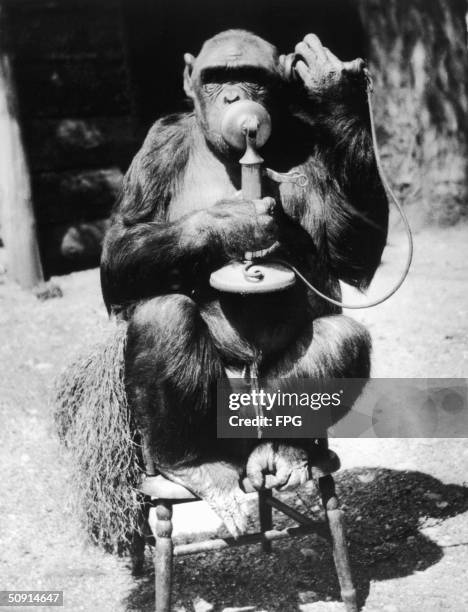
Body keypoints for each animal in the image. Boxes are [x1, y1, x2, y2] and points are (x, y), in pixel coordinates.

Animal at [101, 28, 388, 536]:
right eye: (217, 78)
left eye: (251, 78)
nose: (236, 99)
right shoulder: (156, 147)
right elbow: (119, 248)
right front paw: (232, 223)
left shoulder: (313, 144)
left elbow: (352, 251)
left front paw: (334, 85)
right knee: (163, 314)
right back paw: (194, 466)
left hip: (258, 418)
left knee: (342, 338)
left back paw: (285, 449)